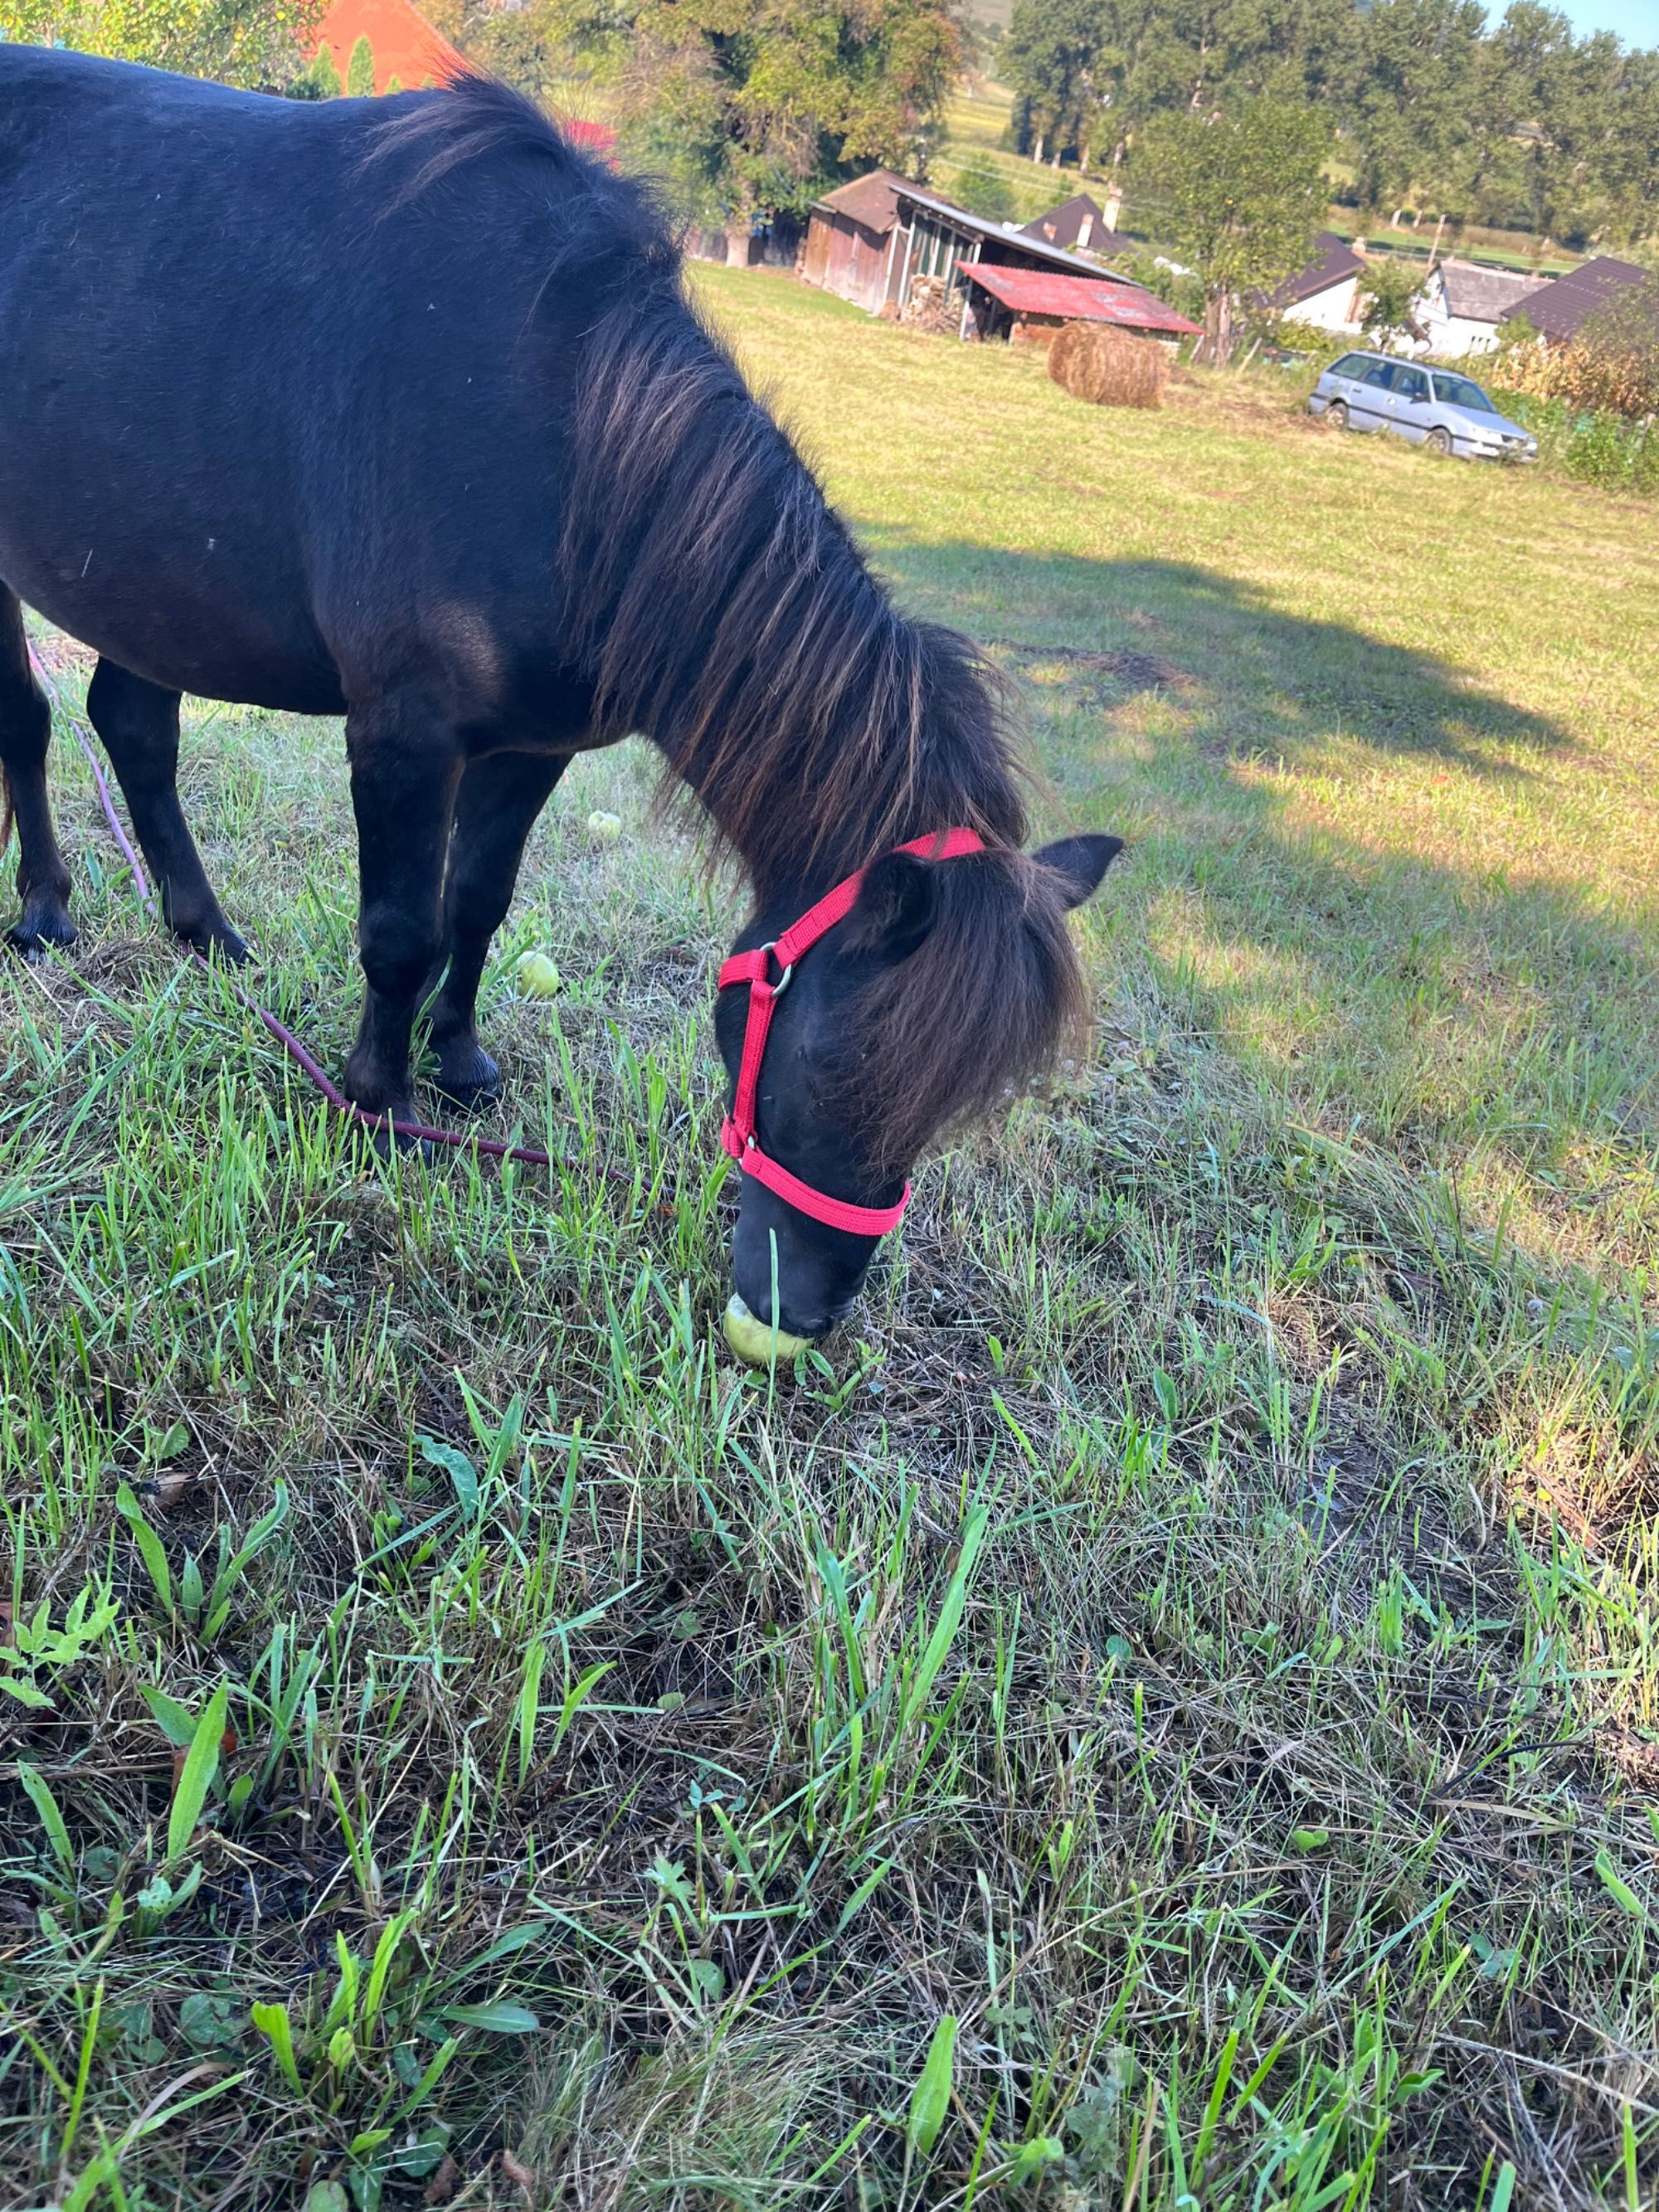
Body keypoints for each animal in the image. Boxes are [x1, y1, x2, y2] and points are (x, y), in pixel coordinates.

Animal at [0, 51, 1123, 1327]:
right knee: (32, 722)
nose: (800, 1309)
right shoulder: (405, 733)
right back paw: (46, 910)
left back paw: (205, 934)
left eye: (952, 1108)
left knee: (132, 728)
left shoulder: (531, 748)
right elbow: (401, 930)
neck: (562, 435)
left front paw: (459, 1060)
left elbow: (477, 905)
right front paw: (378, 1099)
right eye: (841, 1064)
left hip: (151, 577)